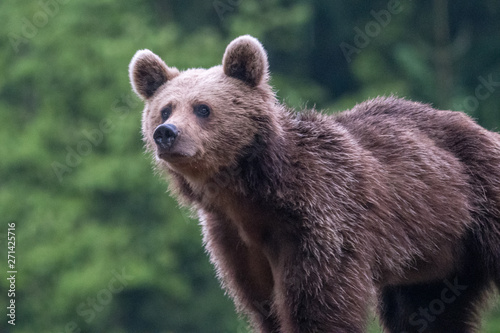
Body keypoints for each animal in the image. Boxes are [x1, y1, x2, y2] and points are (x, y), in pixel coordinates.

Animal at [129, 35, 500, 330]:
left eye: (203, 108)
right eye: (165, 109)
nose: (166, 133)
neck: (249, 195)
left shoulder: (320, 219)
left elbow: (319, 303)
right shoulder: (235, 242)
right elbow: (264, 306)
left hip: (478, 202)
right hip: (435, 262)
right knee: (426, 314)